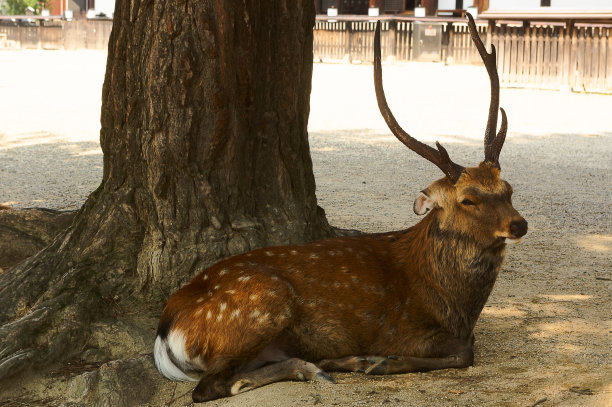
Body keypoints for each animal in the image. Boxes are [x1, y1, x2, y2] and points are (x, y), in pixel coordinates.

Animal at [152, 14, 524, 404]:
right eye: (468, 199)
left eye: (508, 189)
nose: (519, 225)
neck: (457, 305)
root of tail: (165, 330)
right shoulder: (403, 329)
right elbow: (466, 352)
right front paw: (380, 363)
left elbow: (468, 347)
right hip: (262, 304)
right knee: (209, 386)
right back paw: (323, 366)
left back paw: (322, 365)